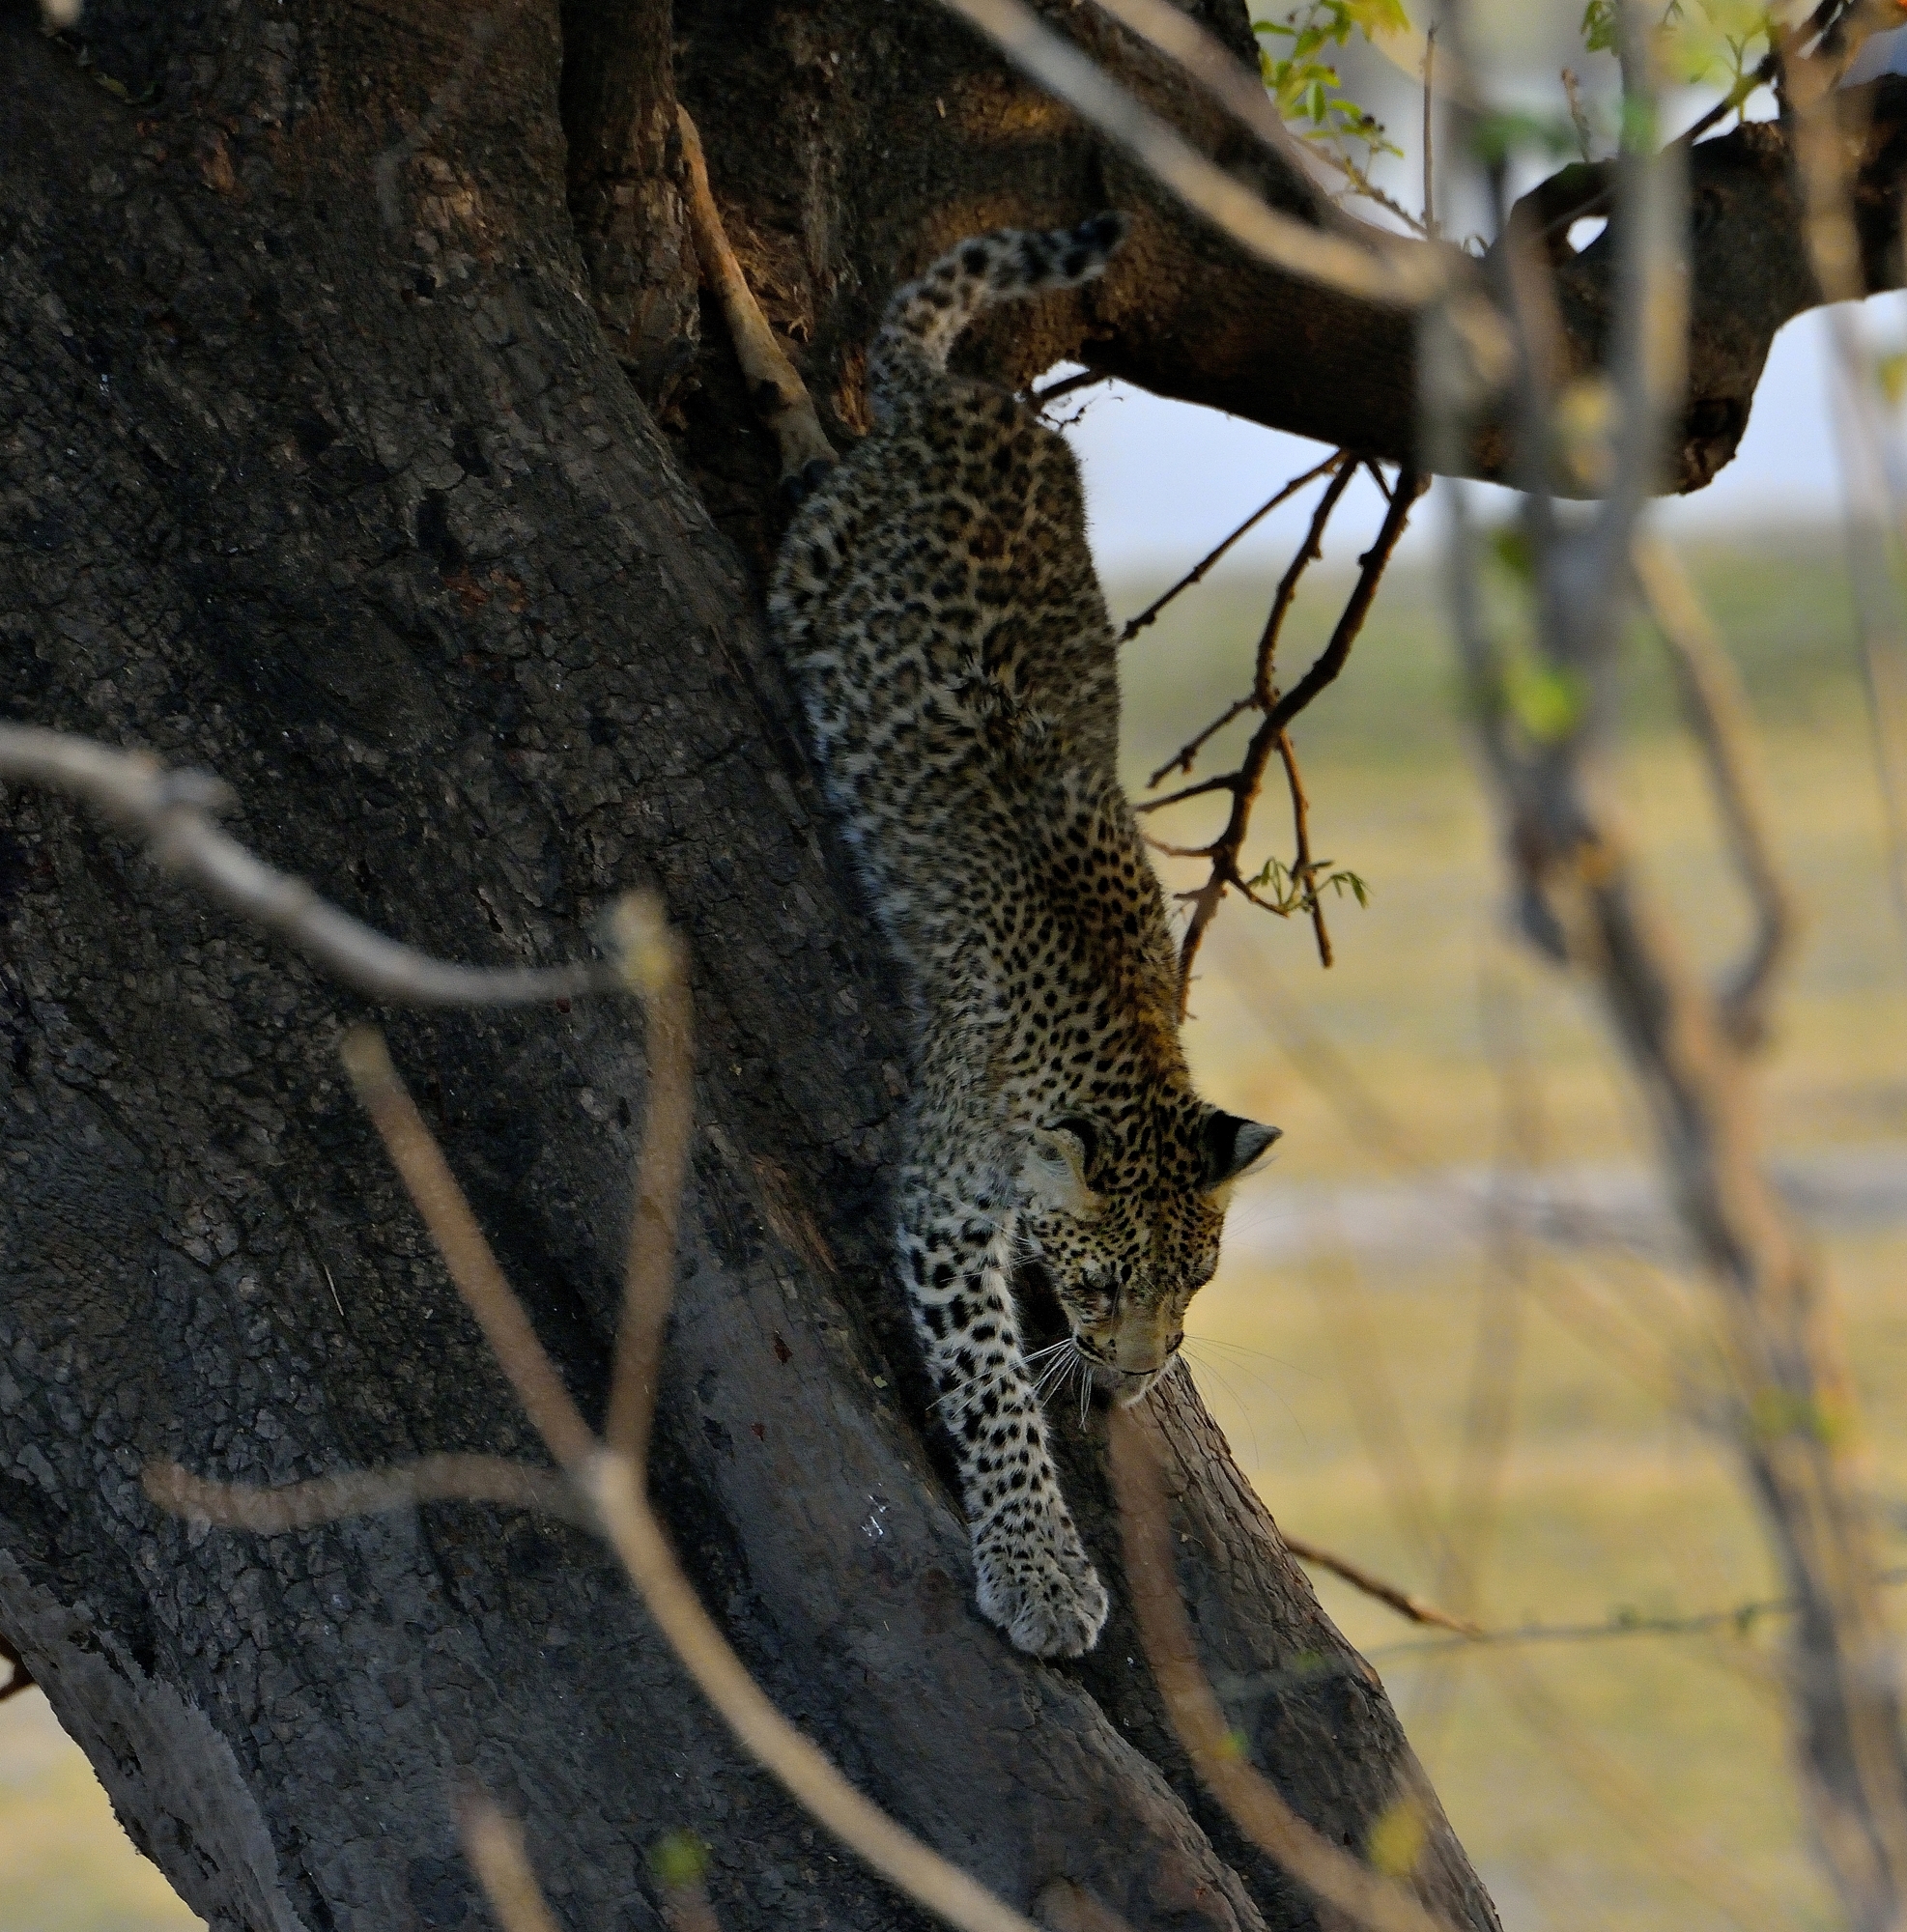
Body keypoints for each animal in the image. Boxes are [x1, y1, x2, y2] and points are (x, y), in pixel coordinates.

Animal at [756, 214, 1281, 1659]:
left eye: (1199, 1278)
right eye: (1096, 1284)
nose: (1140, 1372)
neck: (1125, 1050)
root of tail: (966, 403)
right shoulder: (941, 1193)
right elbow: (990, 1384)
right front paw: (1040, 1566)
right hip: (818, 559)